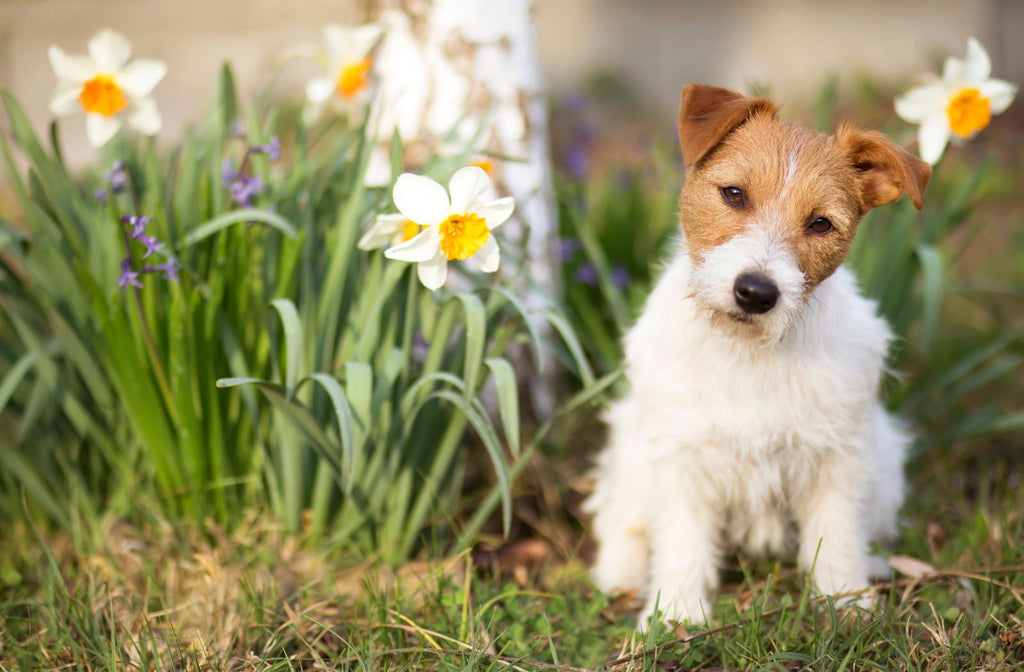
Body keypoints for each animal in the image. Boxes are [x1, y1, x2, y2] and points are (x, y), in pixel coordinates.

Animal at [585, 85, 929, 631]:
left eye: (820, 223)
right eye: (733, 194)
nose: (755, 292)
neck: (748, 350)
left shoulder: (838, 456)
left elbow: (836, 532)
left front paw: (846, 601)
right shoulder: (681, 456)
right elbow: (682, 540)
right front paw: (676, 614)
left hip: (886, 456)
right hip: (631, 449)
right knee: (622, 517)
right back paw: (620, 575)